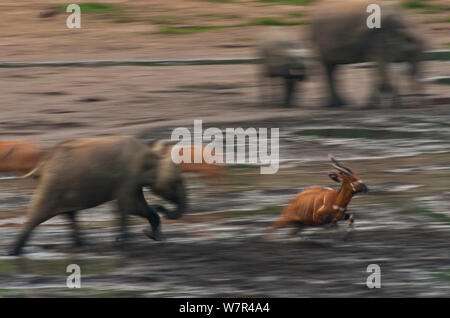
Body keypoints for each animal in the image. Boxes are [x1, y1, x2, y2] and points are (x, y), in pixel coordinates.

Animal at [9, 135, 187, 255]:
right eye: (175, 182)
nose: (162, 207)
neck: (151, 154)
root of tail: (44, 162)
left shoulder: (131, 181)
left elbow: (134, 207)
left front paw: (156, 238)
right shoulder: (128, 177)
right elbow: (130, 207)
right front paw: (124, 244)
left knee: (69, 214)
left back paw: (81, 245)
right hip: (53, 183)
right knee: (37, 215)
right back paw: (14, 252)